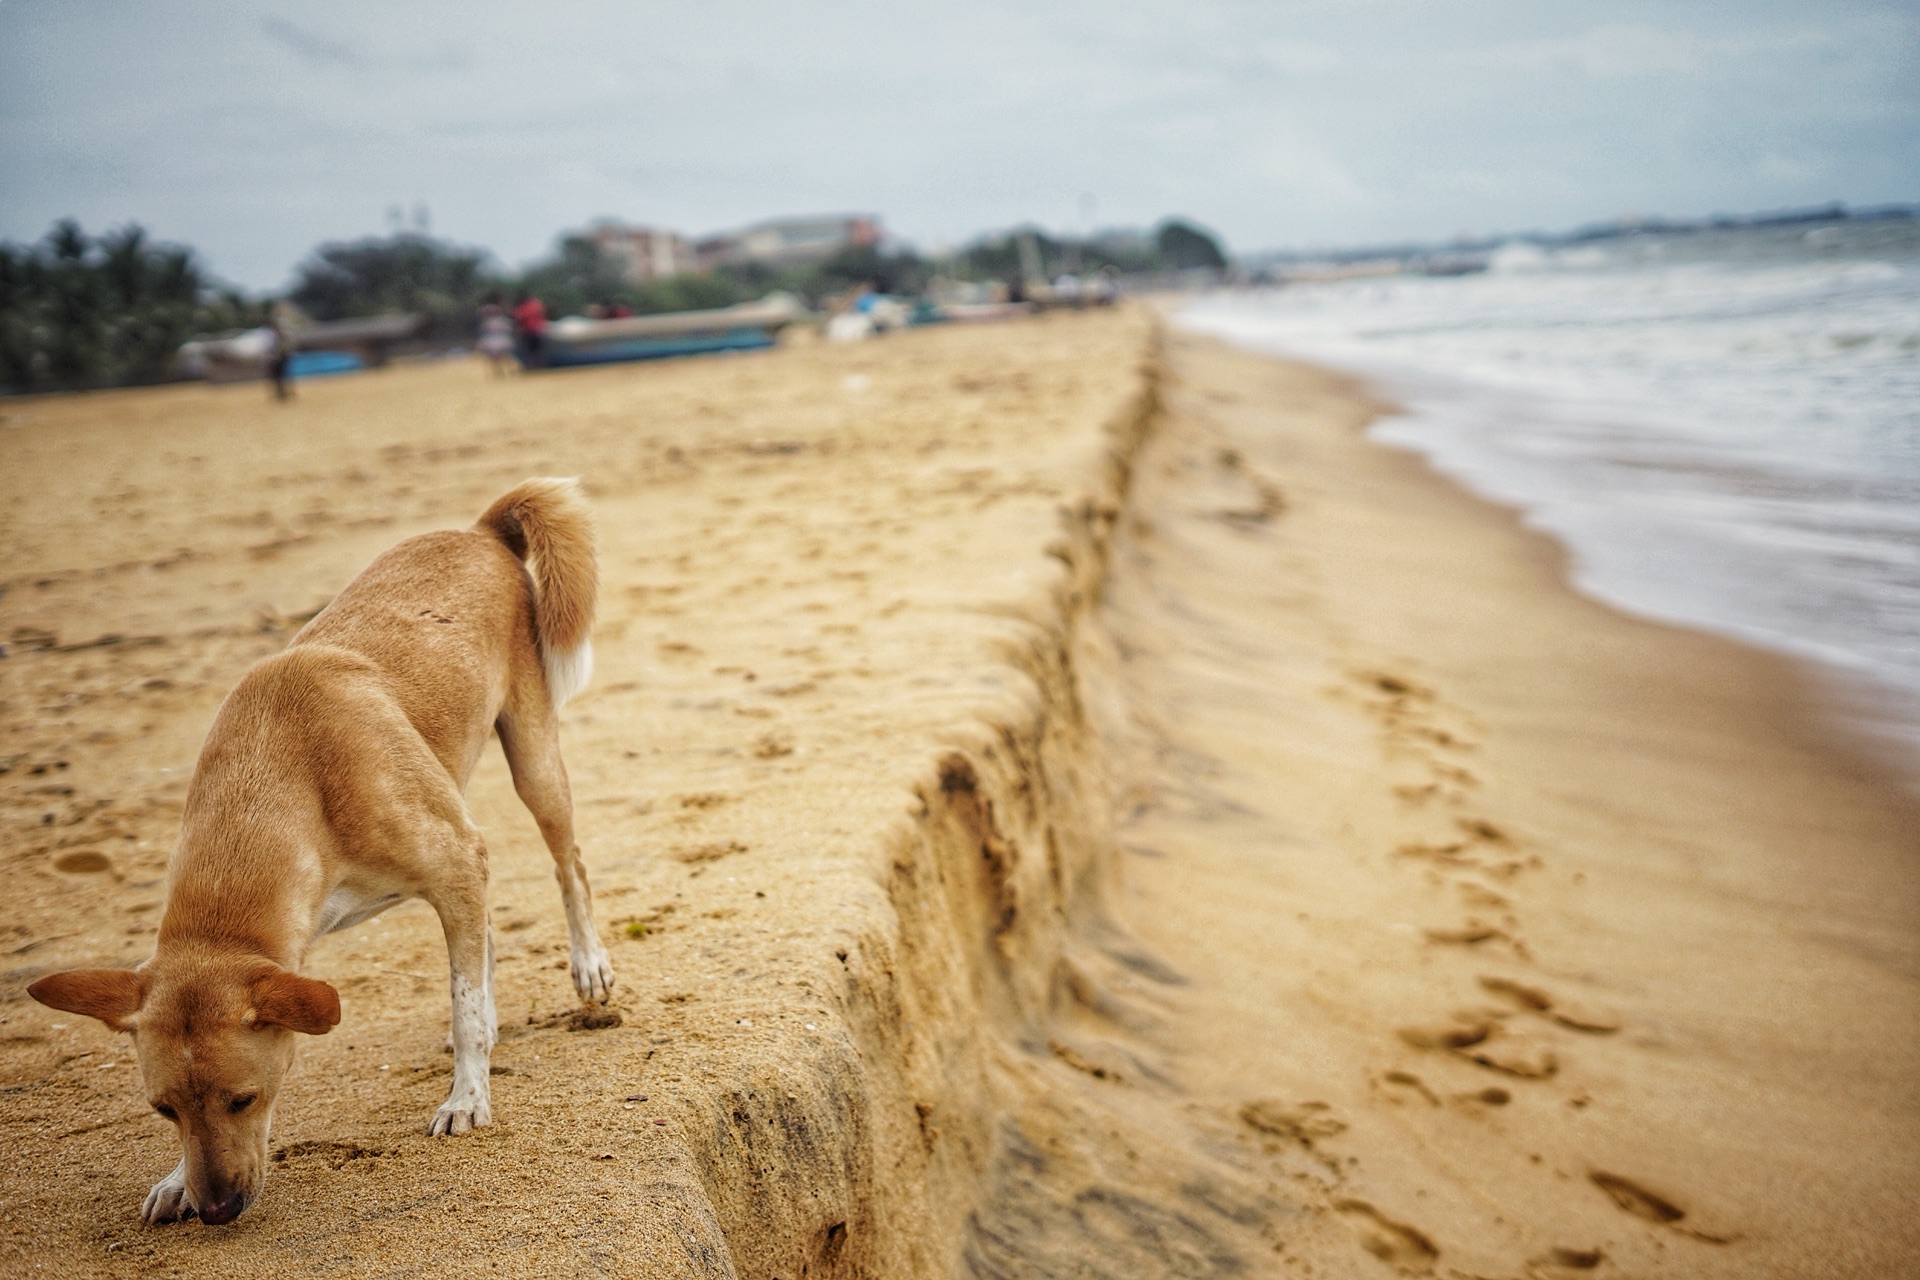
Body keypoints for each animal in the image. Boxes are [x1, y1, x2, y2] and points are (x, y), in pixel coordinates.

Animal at [31, 475, 614, 1228]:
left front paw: (467, 1097)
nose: (216, 1210)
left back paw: (588, 966)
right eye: (164, 1110)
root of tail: (479, 531)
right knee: (487, 933)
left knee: (569, 866)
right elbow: (469, 973)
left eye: (243, 1099)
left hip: (534, 761)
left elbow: (461, 1000)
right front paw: (174, 1180)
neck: (280, 775)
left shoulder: (456, 859)